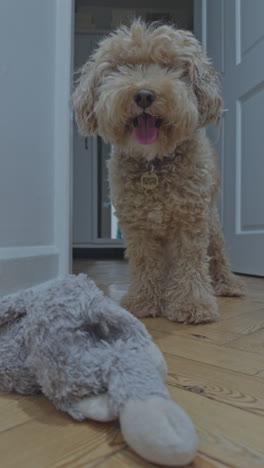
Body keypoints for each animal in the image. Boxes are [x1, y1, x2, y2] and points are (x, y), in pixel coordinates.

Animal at [72, 20, 245, 324]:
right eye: (122, 67)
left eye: (169, 66)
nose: (143, 94)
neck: (153, 162)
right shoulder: (138, 227)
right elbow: (145, 264)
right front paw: (143, 301)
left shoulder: (190, 221)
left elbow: (191, 263)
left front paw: (191, 304)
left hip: (212, 223)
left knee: (218, 254)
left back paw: (229, 284)